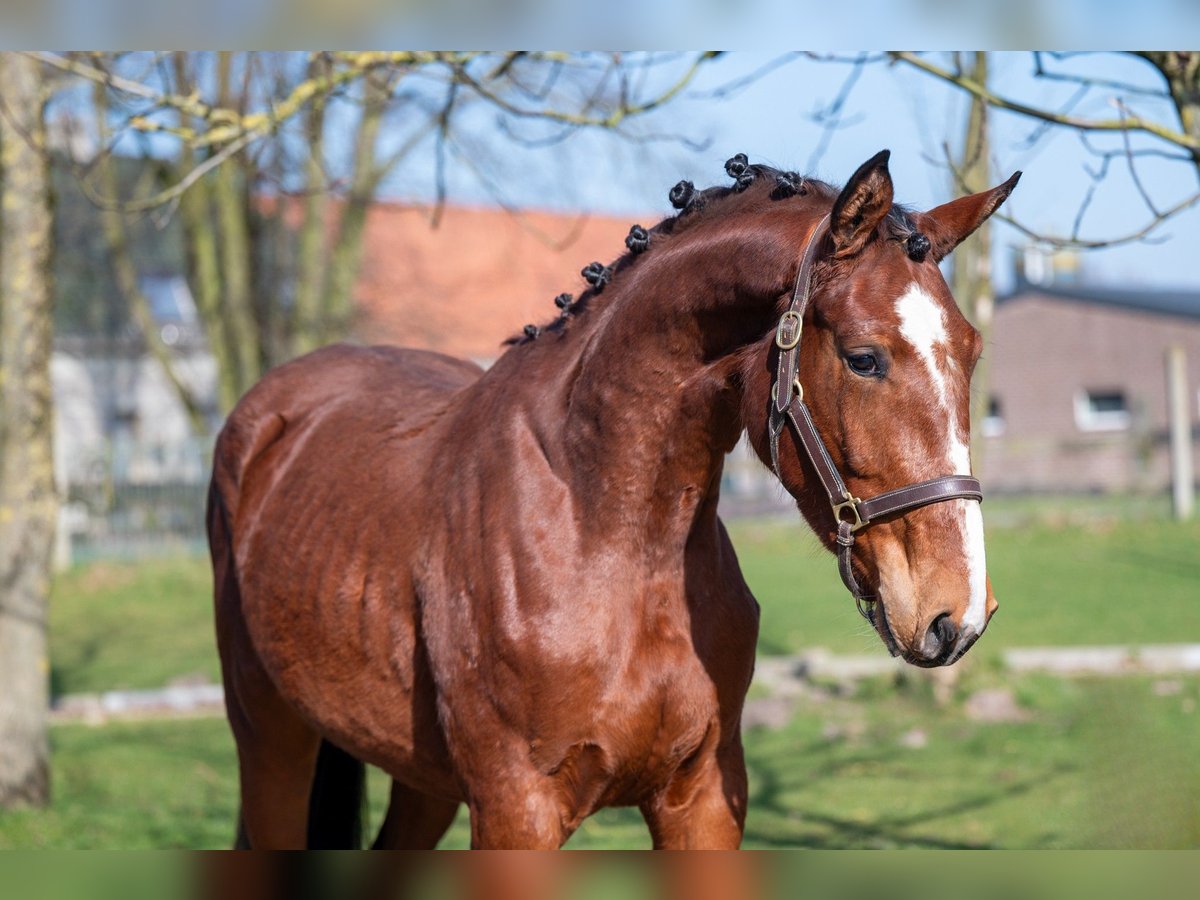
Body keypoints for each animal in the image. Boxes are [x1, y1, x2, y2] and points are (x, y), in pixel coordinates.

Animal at [211, 150, 1017, 854]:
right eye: (863, 358)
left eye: (974, 352)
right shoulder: (517, 811)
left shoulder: (703, 801)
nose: (958, 615)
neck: (609, 535)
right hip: (273, 740)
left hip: (421, 780)